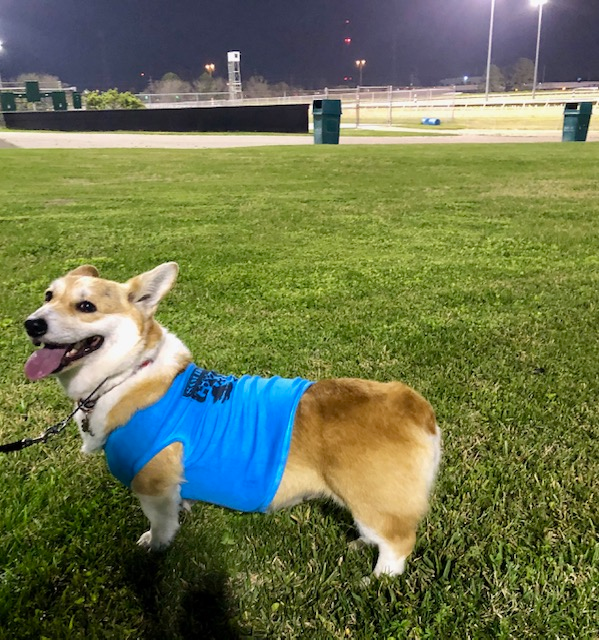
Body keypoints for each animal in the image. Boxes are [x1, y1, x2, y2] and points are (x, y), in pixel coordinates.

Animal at [23, 262, 440, 576]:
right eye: (48, 296)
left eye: (86, 306)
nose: (32, 324)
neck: (128, 373)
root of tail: (411, 404)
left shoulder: (152, 484)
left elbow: (161, 525)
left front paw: (154, 546)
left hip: (371, 498)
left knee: (396, 543)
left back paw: (376, 580)